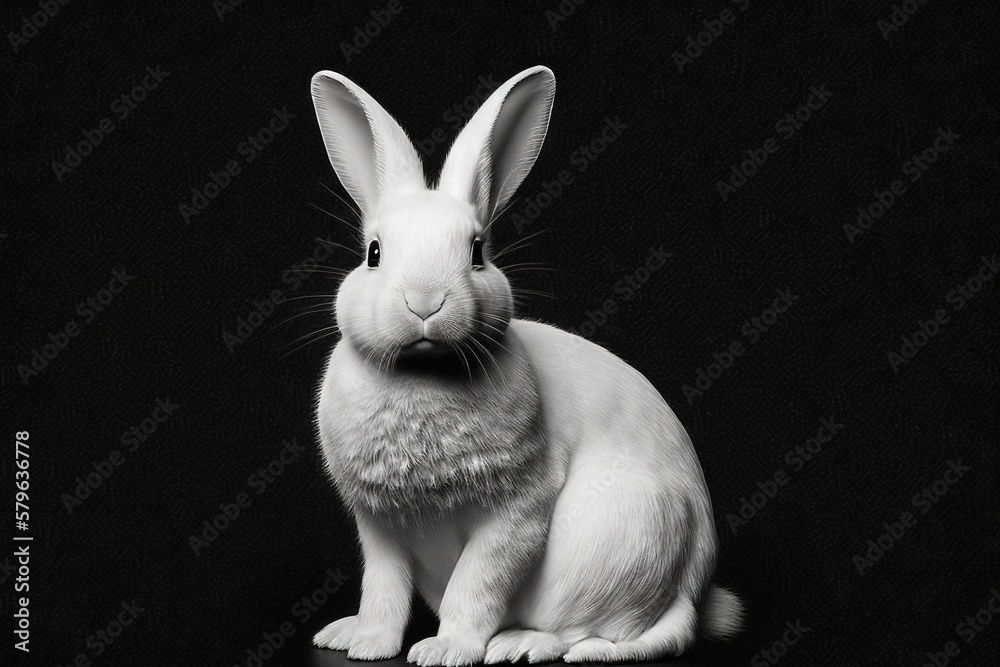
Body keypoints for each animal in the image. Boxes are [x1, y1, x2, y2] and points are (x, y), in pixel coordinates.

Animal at [309, 65, 744, 666]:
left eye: (477, 253)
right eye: (373, 253)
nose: (425, 301)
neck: (422, 376)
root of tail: (692, 592)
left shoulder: (516, 513)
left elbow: (476, 586)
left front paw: (447, 649)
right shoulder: (379, 527)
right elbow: (384, 590)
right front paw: (364, 642)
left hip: (614, 539)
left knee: (589, 631)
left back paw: (521, 643)